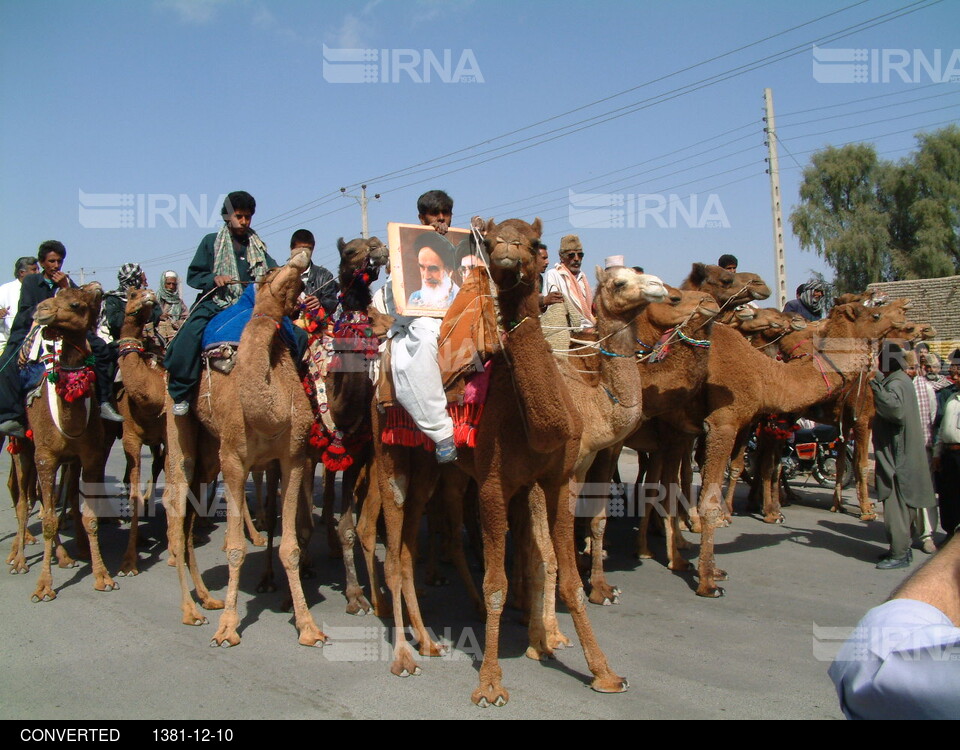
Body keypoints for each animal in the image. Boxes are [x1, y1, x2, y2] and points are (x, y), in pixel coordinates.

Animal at [7, 284, 117, 604]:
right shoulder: (45, 456)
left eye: (77, 304)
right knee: (24, 499)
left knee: (53, 502)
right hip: (23, 449)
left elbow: (88, 517)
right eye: (56, 296)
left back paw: (65, 555)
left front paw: (102, 576)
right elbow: (46, 520)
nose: (41, 310)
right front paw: (44, 586)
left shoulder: (90, 456)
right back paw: (18, 558)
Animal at [165, 253, 326, 648]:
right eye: (269, 272)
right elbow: (237, 546)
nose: (300, 257)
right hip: (182, 431)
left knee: (192, 509)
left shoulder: (292, 457)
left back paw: (206, 598)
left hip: (210, 453)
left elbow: (290, 546)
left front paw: (308, 626)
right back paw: (190, 611)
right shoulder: (234, 459)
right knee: (176, 503)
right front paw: (228, 628)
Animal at [368, 220, 632, 708]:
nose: (509, 252)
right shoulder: (493, 484)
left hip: (430, 468)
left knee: (410, 547)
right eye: (490, 244)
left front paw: (603, 671)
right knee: (393, 553)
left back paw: (428, 641)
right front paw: (490, 683)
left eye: (532, 242)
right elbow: (496, 584)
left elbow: (568, 577)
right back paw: (403, 657)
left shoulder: (556, 479)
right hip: (388, 454)